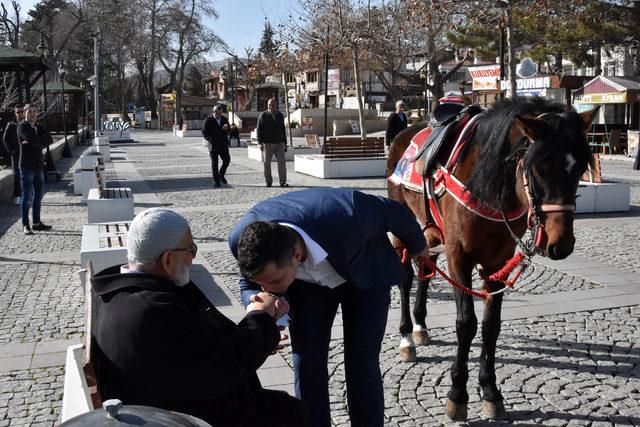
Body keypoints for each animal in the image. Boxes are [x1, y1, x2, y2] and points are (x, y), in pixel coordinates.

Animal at [384, 98, 600, 422]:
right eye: (539, 168)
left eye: (579, 170)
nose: (560, 244)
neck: (488, 188)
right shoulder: (458, 256)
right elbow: (466, 323)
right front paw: (457, 394)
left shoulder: (498, 264)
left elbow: (490, 326)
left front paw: (490, 390)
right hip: (402, 230)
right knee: (406, 278)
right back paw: (407, 337)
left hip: (430, 232)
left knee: (425, 267)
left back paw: (421, 327)